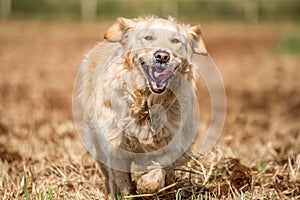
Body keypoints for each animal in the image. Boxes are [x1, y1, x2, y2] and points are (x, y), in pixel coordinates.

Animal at [76, 16, 207, 198]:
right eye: (148, 37)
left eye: (175, 40)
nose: (162, 56)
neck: (147, 101)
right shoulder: (115, 145)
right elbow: (121, 180)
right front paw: (127, 194)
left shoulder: (176, 142)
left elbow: (159, 169)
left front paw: (145, 185)